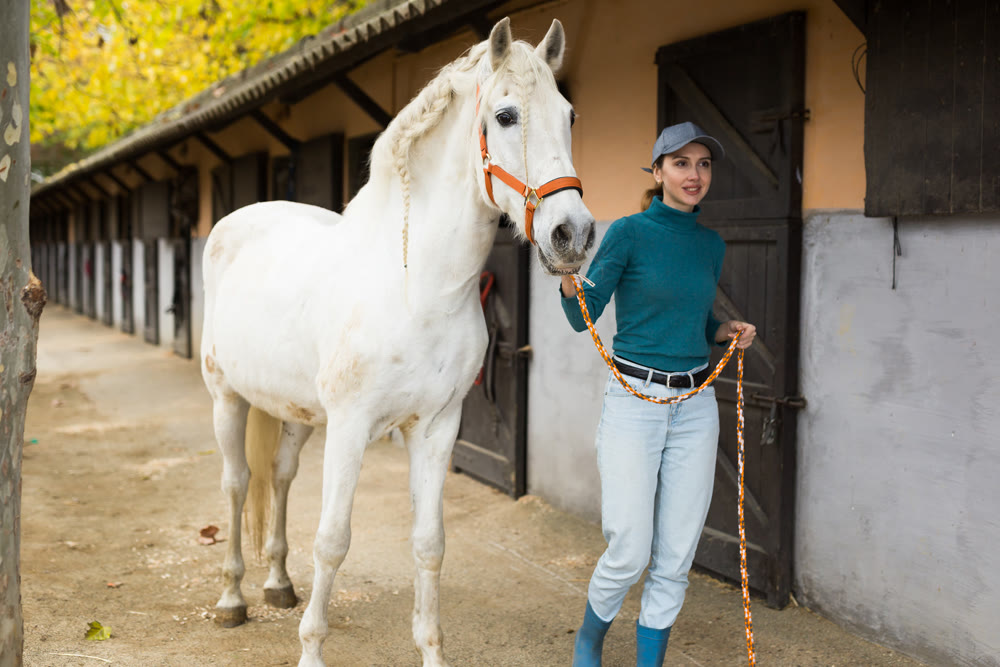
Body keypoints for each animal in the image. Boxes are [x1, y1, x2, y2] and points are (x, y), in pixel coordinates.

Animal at [199, 17, 595, 667]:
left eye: (569, 114)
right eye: (506, 115)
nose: (574, 234)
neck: (417, 289)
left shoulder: (436, 428)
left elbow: (429, 544)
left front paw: (431, 649)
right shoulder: (351, 425)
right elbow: (332, 540)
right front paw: (311, 650)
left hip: (298, 412)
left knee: (279, 477)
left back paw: (278, 585)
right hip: (226, 397)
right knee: (235, 486)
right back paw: (233, 598)